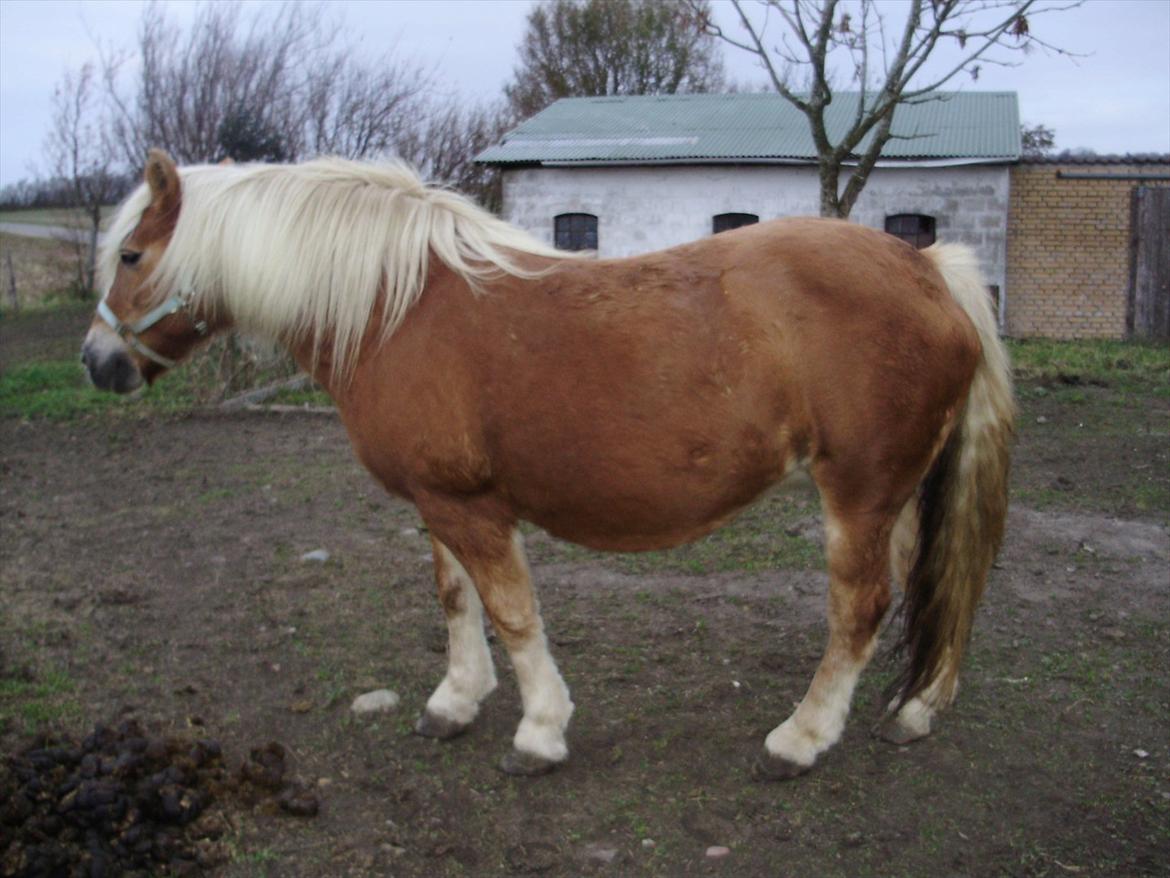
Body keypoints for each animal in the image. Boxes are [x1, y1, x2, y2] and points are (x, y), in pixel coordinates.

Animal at [82, 151, 1015, 777]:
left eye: (130, 256)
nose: (98, 362)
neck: (396, 309)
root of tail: (928, 267)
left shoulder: (472, 507)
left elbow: (512, 611)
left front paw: (539, 731)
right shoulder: (439, 502)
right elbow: (457, 600)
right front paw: (455, 701)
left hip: (856, 494)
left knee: (860, 609)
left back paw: (802, 738)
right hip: (895, 496)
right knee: (925, 593)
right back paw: (914, 710)